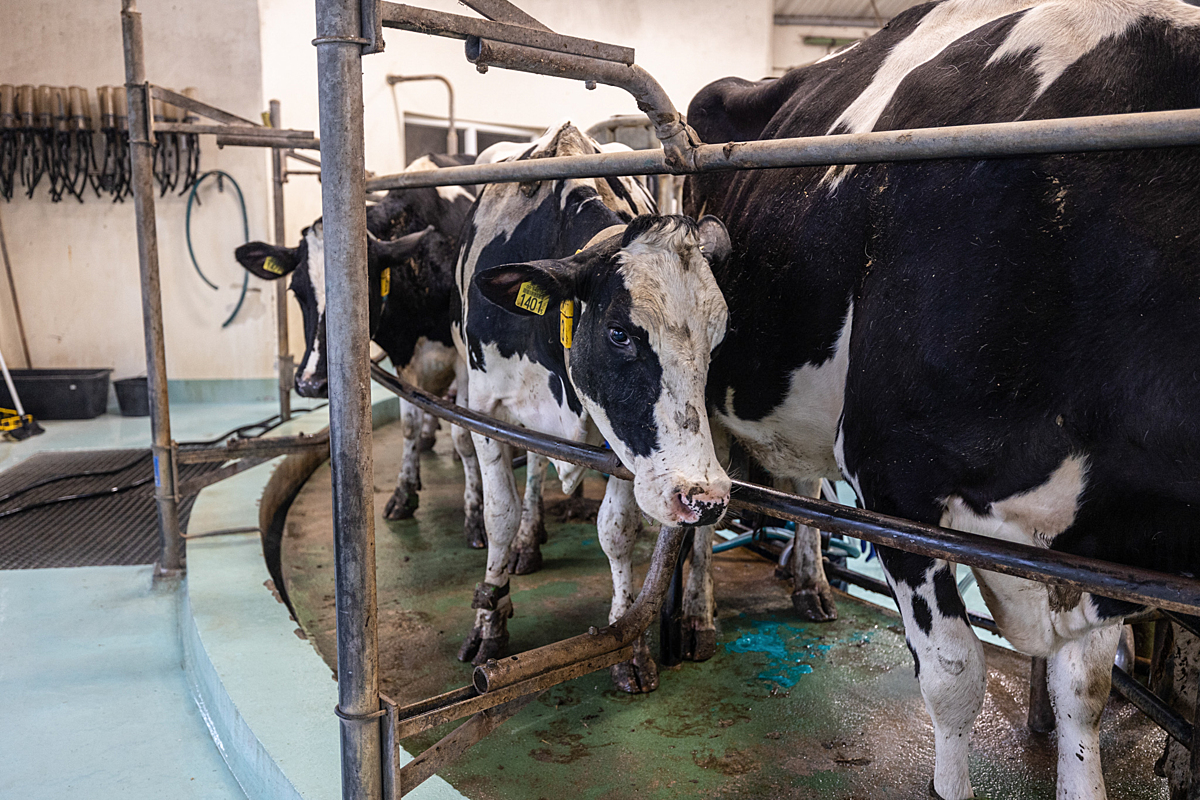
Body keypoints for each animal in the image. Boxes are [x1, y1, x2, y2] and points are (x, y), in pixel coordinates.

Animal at [456, 121, 733, 692]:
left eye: (717, 343)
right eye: (619, 333)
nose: (706, 496)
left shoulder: (626, 449)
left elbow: (617, 531)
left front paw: (626, 643)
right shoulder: (485, 411)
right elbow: (498, 513)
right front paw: (489, 621)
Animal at [685, 0, 1200, 797]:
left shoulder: (1106, 542)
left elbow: (1082, 689)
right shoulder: (897, 476)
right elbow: (955, 677)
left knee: (799, 484)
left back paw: (812, 584)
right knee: (700, 507)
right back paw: (700, 616)